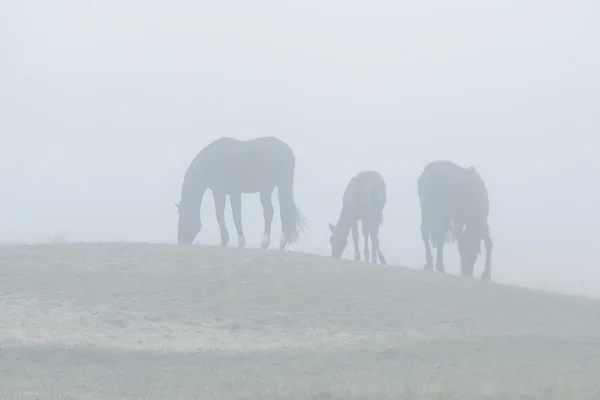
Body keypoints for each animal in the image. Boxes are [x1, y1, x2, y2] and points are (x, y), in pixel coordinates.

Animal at [173, 137, 304, 250]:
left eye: (184, 217)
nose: (180, 241)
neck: (211, 163)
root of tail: (288, 151)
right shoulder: (229, 192)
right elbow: (234, 215)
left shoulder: (222, 192)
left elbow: (224, 215)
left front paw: (228, 241)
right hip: (274, 188)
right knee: (277, 212)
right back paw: (274, 244)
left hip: (274, 188)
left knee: (277, 212)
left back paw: (271, 243)